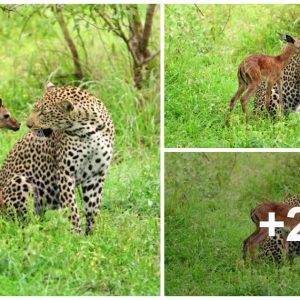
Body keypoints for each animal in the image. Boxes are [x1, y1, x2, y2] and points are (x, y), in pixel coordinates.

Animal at [0, 82, 115, 234]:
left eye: (43, 113)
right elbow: (72, 207)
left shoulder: (97, 174)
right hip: (20, 182)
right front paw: (76, 235)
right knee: (20, 222)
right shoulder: (65, 173)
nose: (27, 125)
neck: (89, 130)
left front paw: (91, 234)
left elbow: (93, 207)